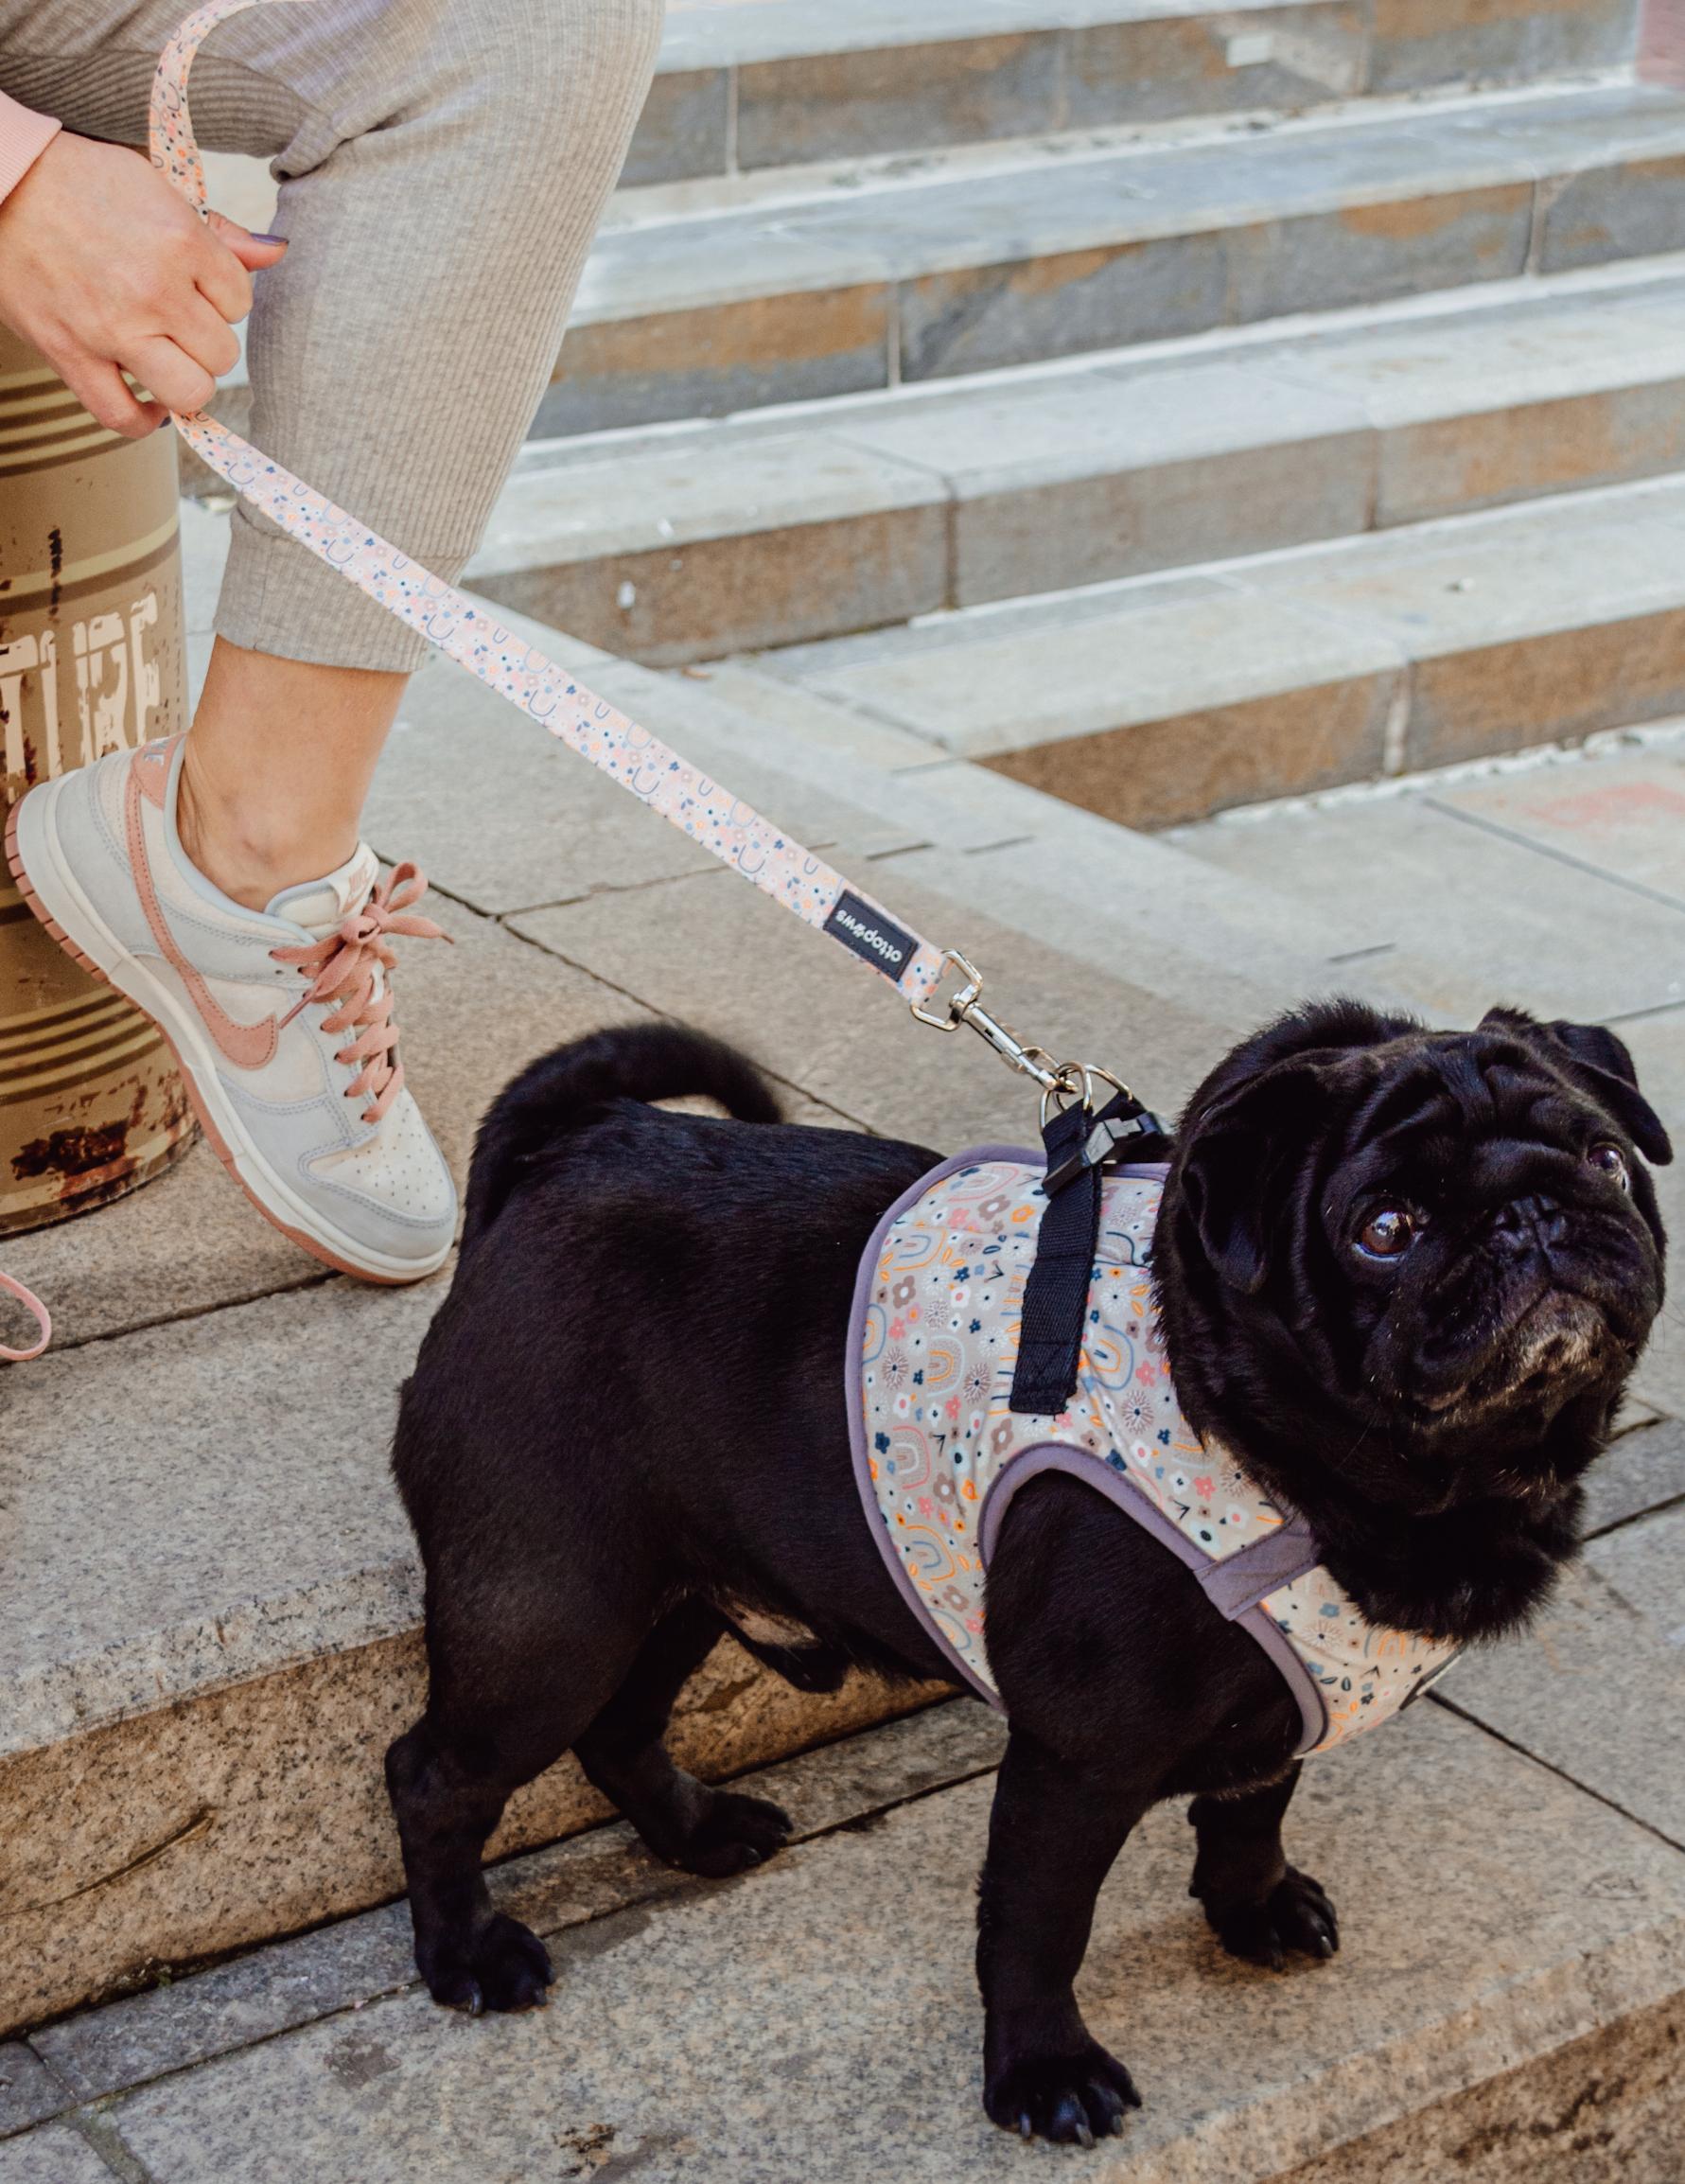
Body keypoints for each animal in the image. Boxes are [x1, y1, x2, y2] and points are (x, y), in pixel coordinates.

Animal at [388, 1004, 1667, 2149]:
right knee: (436, 1774)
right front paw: (1042, 2071)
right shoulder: (1077, 1762)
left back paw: (695, 1831)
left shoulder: (1283, 1695)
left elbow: (1251, 1806)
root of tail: (570, 1155)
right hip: (551, 1610)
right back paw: (466, 1955)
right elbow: (1038, 1924)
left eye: (1606, 1157)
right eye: (1385, 1228)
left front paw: (1250, 1907)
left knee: (619, 1729)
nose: (1532, 1213)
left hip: (673, 1588)